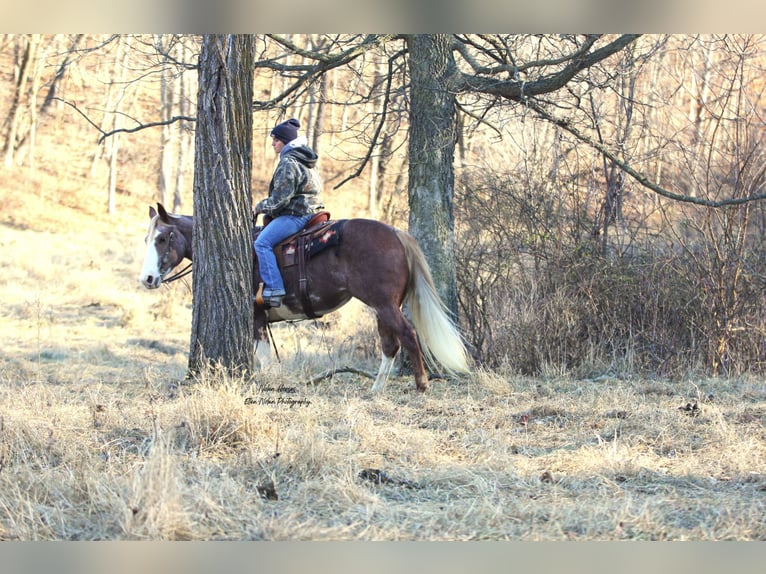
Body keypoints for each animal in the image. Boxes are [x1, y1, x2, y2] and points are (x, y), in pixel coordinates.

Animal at [140, 204, 472, 396]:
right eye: (147, 239)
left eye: (163, 238)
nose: (147, 279)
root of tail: (396, 233)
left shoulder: (256, 318)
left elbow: (263, 358)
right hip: (381, 308)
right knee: (389, 345)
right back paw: (376, 388)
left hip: (385, 305)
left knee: (408, 334)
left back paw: (422, 384)